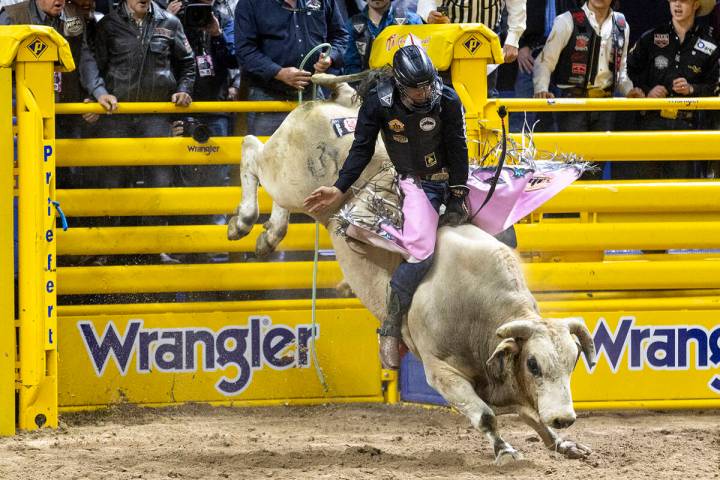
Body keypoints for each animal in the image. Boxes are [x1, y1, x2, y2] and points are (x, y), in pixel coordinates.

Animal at [229, 79, 596, 464]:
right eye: (534, 364)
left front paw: (563, 443)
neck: (479, 309)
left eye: (573, 361)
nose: (565, 417)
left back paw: (268, 236)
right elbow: (485, 415)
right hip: (285, 174)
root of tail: (330, 104)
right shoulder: (441, 372)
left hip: (296, 192)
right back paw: (242, 222)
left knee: (276, 198)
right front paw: (506, 450)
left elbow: (530, 414)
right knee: (251, 148)